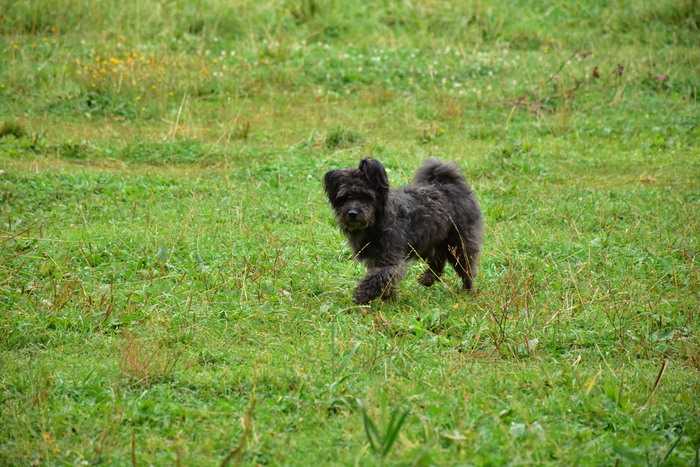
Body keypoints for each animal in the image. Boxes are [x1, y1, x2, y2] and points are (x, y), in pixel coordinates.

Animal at [326, 159, 484, 306]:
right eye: (345, 197)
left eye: (366, 197)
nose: (352, 213)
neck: (376, 222)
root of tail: (450, 184)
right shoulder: (375, 259)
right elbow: (383, 280)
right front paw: (388, 298)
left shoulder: (389, 259)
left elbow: (378, 277)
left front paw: (361, 296)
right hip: (432, 240)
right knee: (438, 260)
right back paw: (428, 279)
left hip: (458, 243)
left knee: (466, 268)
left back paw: (467, 290)